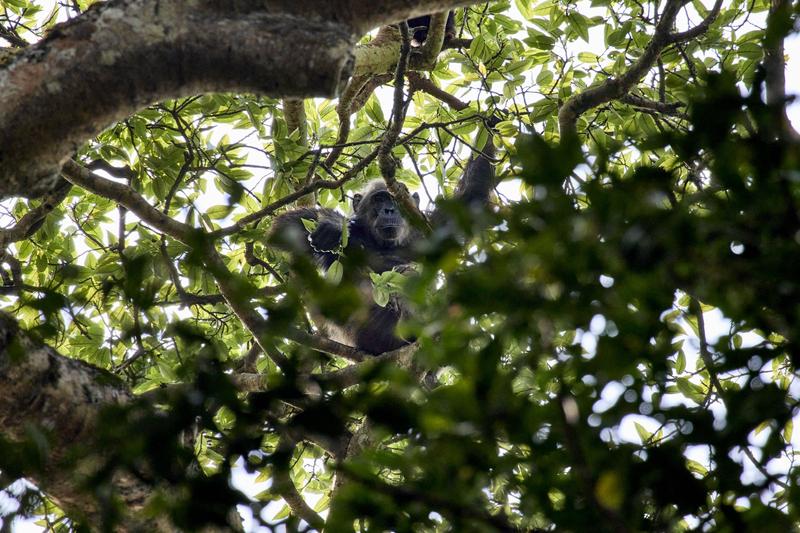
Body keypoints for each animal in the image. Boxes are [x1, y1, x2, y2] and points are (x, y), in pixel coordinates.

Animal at [270, 125, 494, 354]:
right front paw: (334, 227)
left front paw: (491, 123)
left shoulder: (435, 226)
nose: (389, 210)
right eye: (379, 199)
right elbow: (289, 225)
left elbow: (471, 198)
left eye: (394, 199)